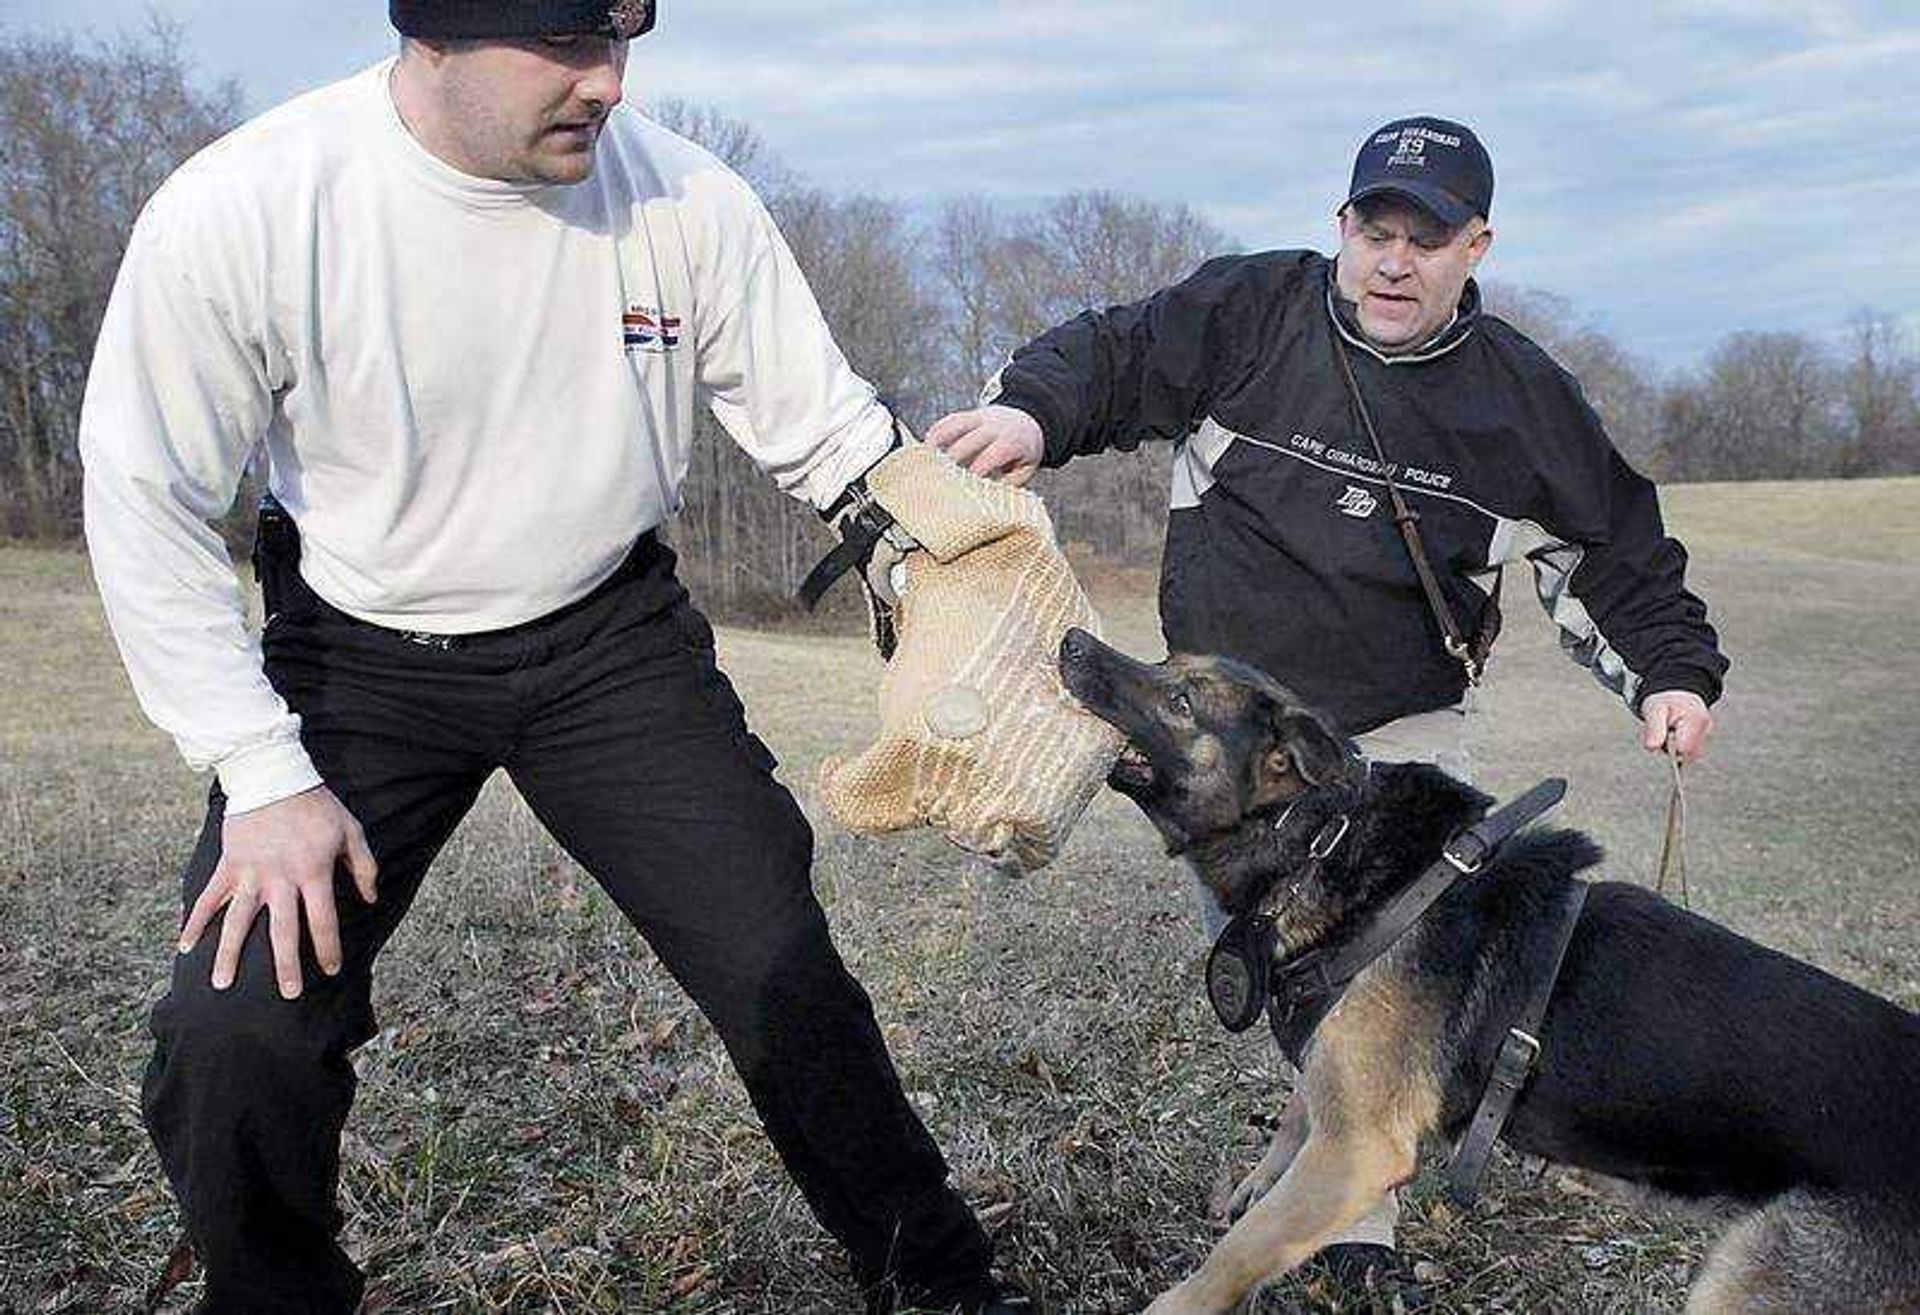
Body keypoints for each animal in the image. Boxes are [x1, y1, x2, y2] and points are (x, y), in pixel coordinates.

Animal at [1052, 629, 1920, 1305]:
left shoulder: (1359, 1151)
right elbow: (1296, 1118)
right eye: (1169, 663)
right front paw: (1260, 1176)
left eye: (1182, 701)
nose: (1071, 640)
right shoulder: (1339, 1103)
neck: (1321, 834)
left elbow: (1230, 1259)